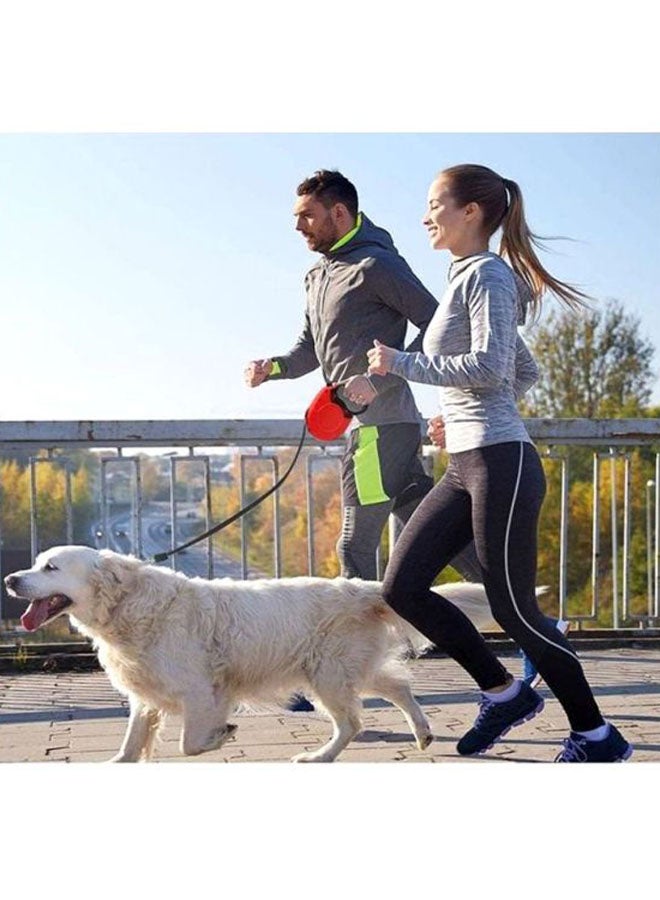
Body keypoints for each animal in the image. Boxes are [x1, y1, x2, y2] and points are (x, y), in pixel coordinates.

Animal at [3, 544, 496, 764]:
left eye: (51, 567)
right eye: (36, 562)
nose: (10, 579)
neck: (131, 605)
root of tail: (360, 587)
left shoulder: (200, 691)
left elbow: (188, 744)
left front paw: (223, 735)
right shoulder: (146, 696)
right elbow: (129, 745)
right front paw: (118, 763)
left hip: (327, 675)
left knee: (353, 722)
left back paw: (319, 756)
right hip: (346, 668)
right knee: (398, 686)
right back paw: (423, 734)